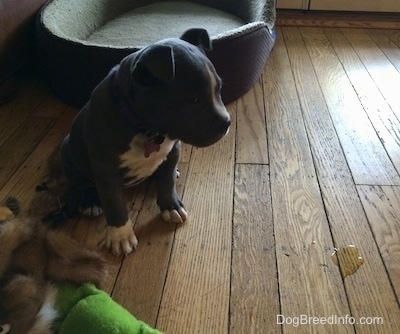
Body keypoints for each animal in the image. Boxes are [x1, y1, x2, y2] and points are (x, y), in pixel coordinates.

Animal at [58, 28, 231, 254]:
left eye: (219, 88)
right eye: (192, 99)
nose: (227, 122)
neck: (146, 129)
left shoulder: (173, 151)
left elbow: (166, 182)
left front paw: (171, 206)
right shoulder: (106, 171)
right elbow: (114, 203)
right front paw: (120, 235)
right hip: (68, 151)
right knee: (81, 183)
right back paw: (90, 201)